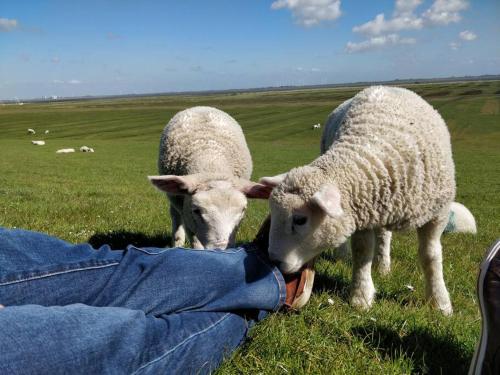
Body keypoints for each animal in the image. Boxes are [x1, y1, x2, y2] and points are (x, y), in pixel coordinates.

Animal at [149, 107, 274, 251]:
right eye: (196, 210)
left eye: (243, 210)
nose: (219, 250)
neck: (211, 163)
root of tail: (200, 107)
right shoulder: (187, 214)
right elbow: (195, 242)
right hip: (175, 199)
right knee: (175, 217)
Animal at [260, 86, 462, 316]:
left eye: (300, 220)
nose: (274, 261)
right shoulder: (361, 210)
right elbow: (362, 252)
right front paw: (361, 296)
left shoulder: (438, 213)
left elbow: (431, 256)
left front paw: (440, 302)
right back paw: (347, 256)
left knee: (385, 236)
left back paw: (383, 266)